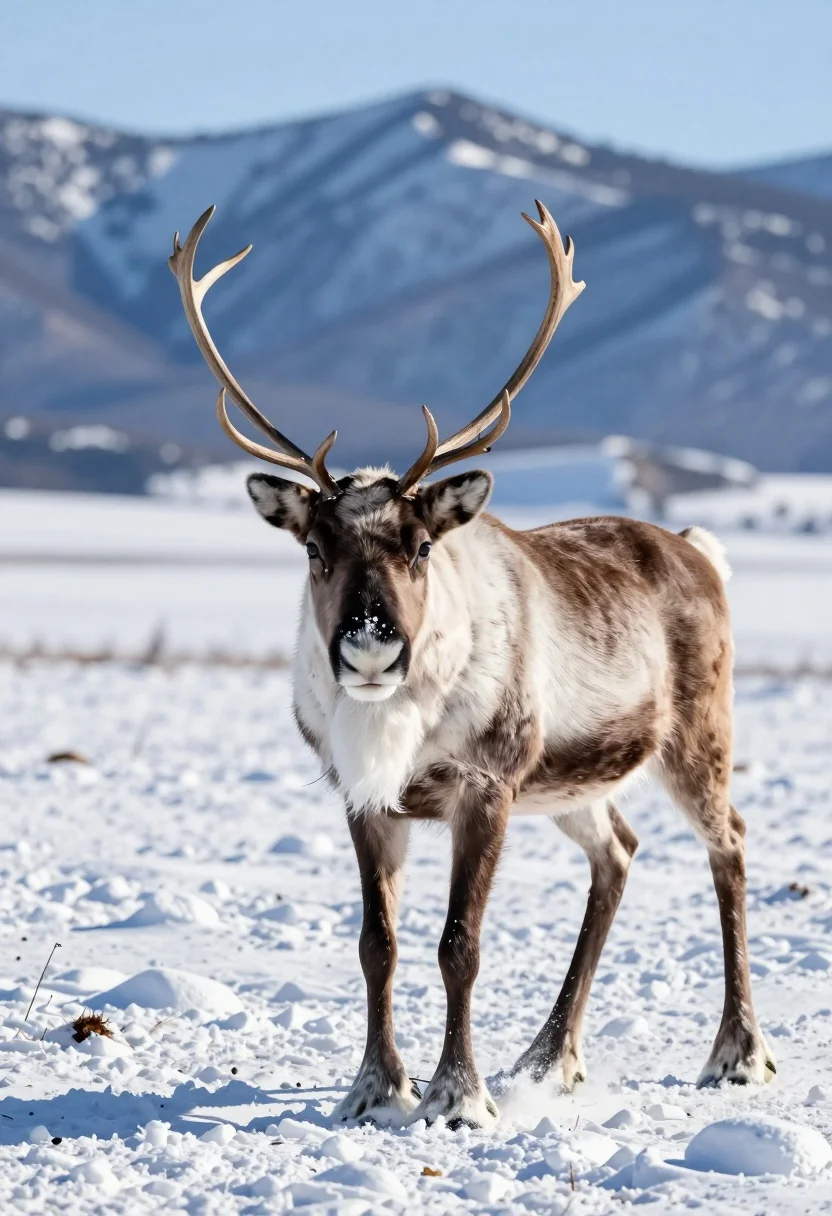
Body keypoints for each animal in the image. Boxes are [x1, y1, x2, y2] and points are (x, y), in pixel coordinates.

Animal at [169, 201, 775, 1130]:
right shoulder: (365, 796)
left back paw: (737, 1054)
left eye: (420, 545)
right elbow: (376, 943)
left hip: (696, 739)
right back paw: (550, 1058)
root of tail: (698, 549)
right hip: (572, 783)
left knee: (730, 844)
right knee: (619, 851)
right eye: (314, 547)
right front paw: (375, 1088)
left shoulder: (485, 786)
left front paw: (458, 1095)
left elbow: (461, 944)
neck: (397, 723)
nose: (371, 643)